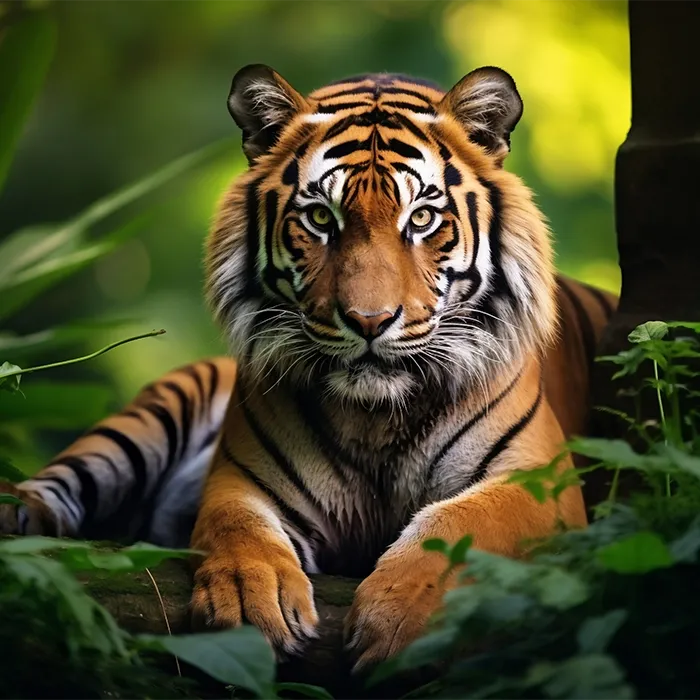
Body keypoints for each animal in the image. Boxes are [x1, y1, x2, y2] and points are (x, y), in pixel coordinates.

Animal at [0, 64, 617, 672]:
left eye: (421, 218)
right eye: (321, 217)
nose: (369, 321)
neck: (376, 418)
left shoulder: (540, 482)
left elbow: (463, 525)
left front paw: (400, 615)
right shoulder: (243, 479)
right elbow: (238, 528)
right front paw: (250, 601)